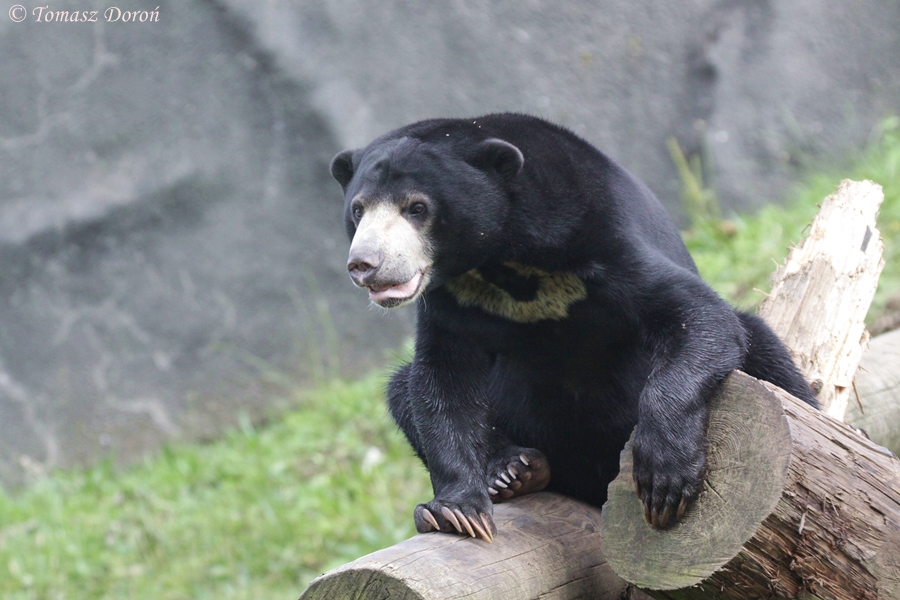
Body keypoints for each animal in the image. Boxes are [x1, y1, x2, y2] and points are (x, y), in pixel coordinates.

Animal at [330, 113, 817, 541]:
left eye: (416, 207)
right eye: (358, 210)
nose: (364, 265)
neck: (501, 261)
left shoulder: (600, 237)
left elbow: (697, 315)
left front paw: (664, 476)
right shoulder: (452, 299)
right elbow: (441, 384)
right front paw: (455, 511)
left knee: (766, 352)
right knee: (401, 388)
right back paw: (514, 470)